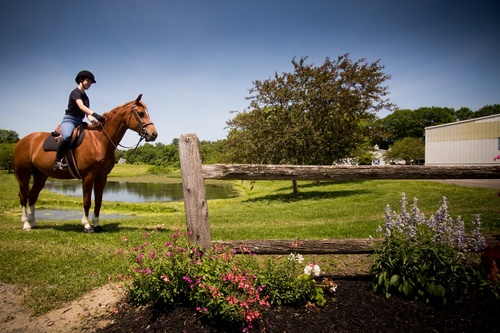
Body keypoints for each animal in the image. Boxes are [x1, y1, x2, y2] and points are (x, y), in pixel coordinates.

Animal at [13, 94, 158, 231]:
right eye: (141, 113)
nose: (154, 134)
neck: (99, 141)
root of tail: (22, 141)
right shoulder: (88, 177)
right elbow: (87, 201)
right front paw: (87, 225)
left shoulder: (102, 178)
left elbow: (98, 202)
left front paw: (97, 225)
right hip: (23, 175)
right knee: (23, 196)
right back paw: (26, 224)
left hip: (40, 176)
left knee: (33, 196)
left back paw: (33, 222)